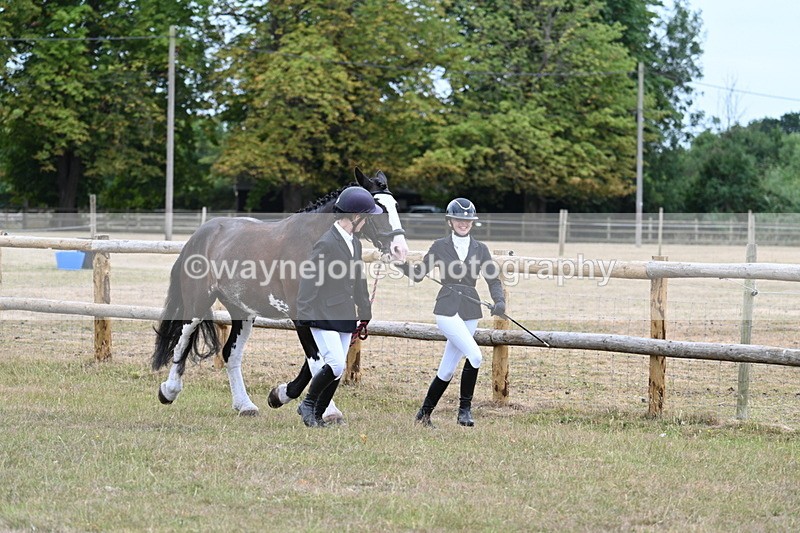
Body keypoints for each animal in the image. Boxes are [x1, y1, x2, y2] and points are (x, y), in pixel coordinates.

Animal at [151, 168, 409, 415]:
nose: (400, 250)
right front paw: (325, 410)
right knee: (182, 342)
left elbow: (323, 361)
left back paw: (245, 405)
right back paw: (169, 391)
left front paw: (280, 394)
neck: (315, 242)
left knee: (230, 353)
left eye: (395, 206)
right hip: (197, 304)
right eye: (377, 207)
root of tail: (200, 235)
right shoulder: (301, 314)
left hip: (243, 312)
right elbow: (318, 361)